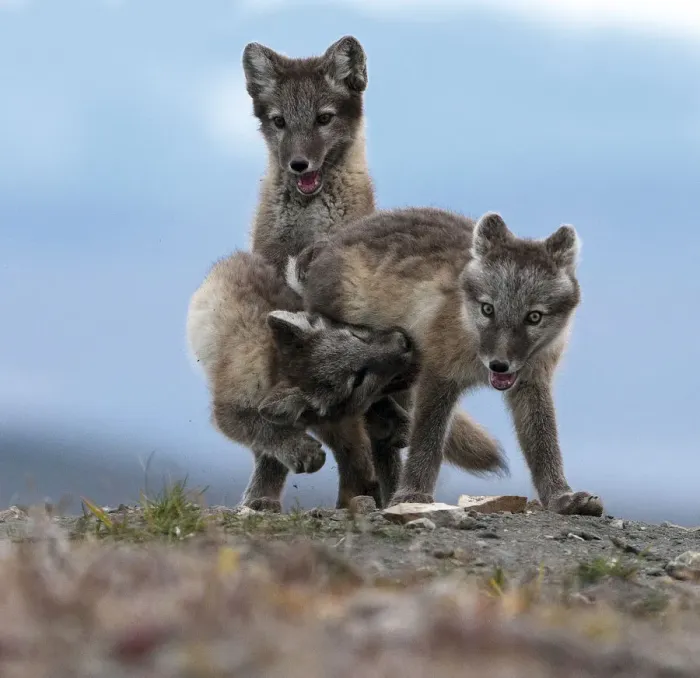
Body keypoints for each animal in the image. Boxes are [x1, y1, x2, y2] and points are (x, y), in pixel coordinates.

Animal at [186, 250, 417, 511]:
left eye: (356, 335)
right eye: (357, 380)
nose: (404, 343)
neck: (274, 361)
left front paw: (397, 421)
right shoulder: (231, 413)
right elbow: (267, 429)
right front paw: (302, 450)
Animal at [293, 208, 603, 517]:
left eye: (534, 317)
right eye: (488, 309)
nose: (499, 365)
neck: (467, 326)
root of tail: (325, 246)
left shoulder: (532, 382)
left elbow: (543, 443)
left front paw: (561, 497)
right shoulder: (438, 375)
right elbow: (427, 440)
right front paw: (412, 494)